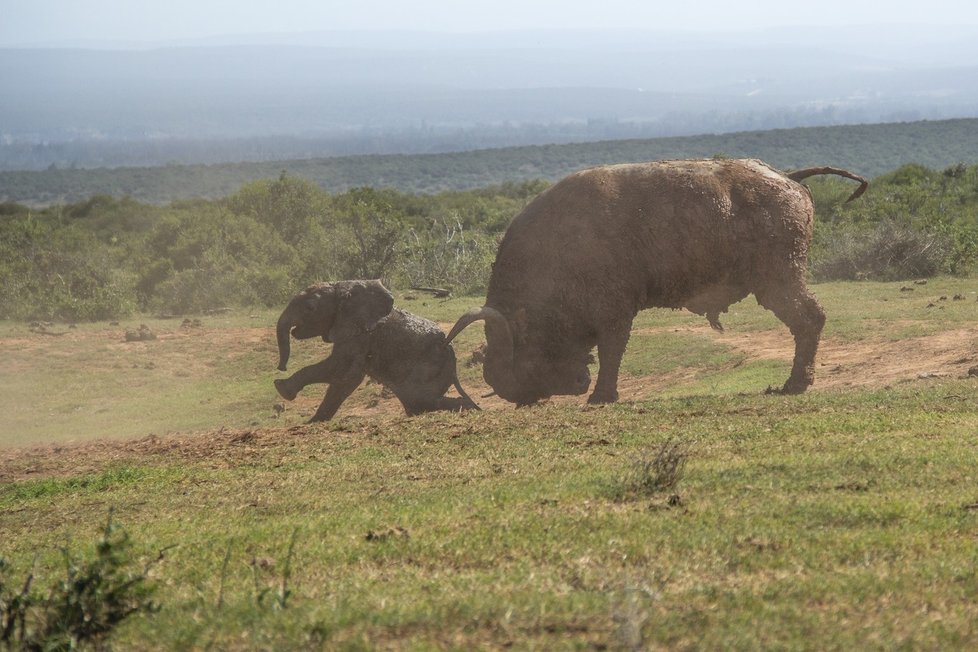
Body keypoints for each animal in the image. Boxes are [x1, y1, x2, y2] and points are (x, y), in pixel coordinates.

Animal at [272, 280, 478, 422]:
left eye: (310, 307)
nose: (282, 367)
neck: (344, 290)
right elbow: (345, 379)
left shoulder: (361, 335)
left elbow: (342, 372)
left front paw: (282, 389)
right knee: (417, 403)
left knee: (421, 401)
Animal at [446, 157, 864, 408]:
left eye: (518, 358)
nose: (519, 395)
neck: (556, 248)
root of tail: (788, 178)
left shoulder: (614, 313)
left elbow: (612, 351)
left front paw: (601, 395)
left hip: (779, 280)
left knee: (809, 319)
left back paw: (795, 383)